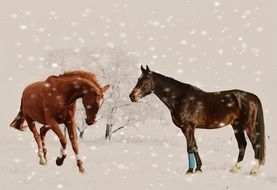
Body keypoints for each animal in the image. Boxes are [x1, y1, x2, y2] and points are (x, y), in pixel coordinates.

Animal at [129, 65, 264, 175]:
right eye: (138, 79)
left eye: (146, 80)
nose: (132, 96)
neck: (180, 97)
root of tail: (253, 97)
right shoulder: (188, 128)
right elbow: (195, 146)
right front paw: (198, 169)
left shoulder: (188, 127)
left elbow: (190, 147)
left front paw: (189, 171)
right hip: (237, 126)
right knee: (242, 144)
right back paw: (235, 168)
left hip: (248, 126)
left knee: (255, 144)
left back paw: (254, 170)